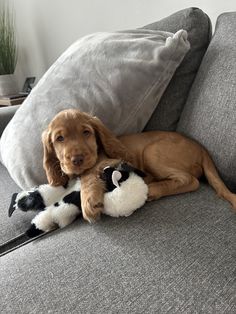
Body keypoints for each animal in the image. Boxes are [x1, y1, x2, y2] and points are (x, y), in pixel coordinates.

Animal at [42, 109, 236, 222]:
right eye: (60, 138)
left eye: (86, 132)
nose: (77, 159)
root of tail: (201, 148)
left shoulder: (107, 162)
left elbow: (87, 174)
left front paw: (88, 201)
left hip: (152, 151)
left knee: (190, 180)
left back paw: (152, 189)